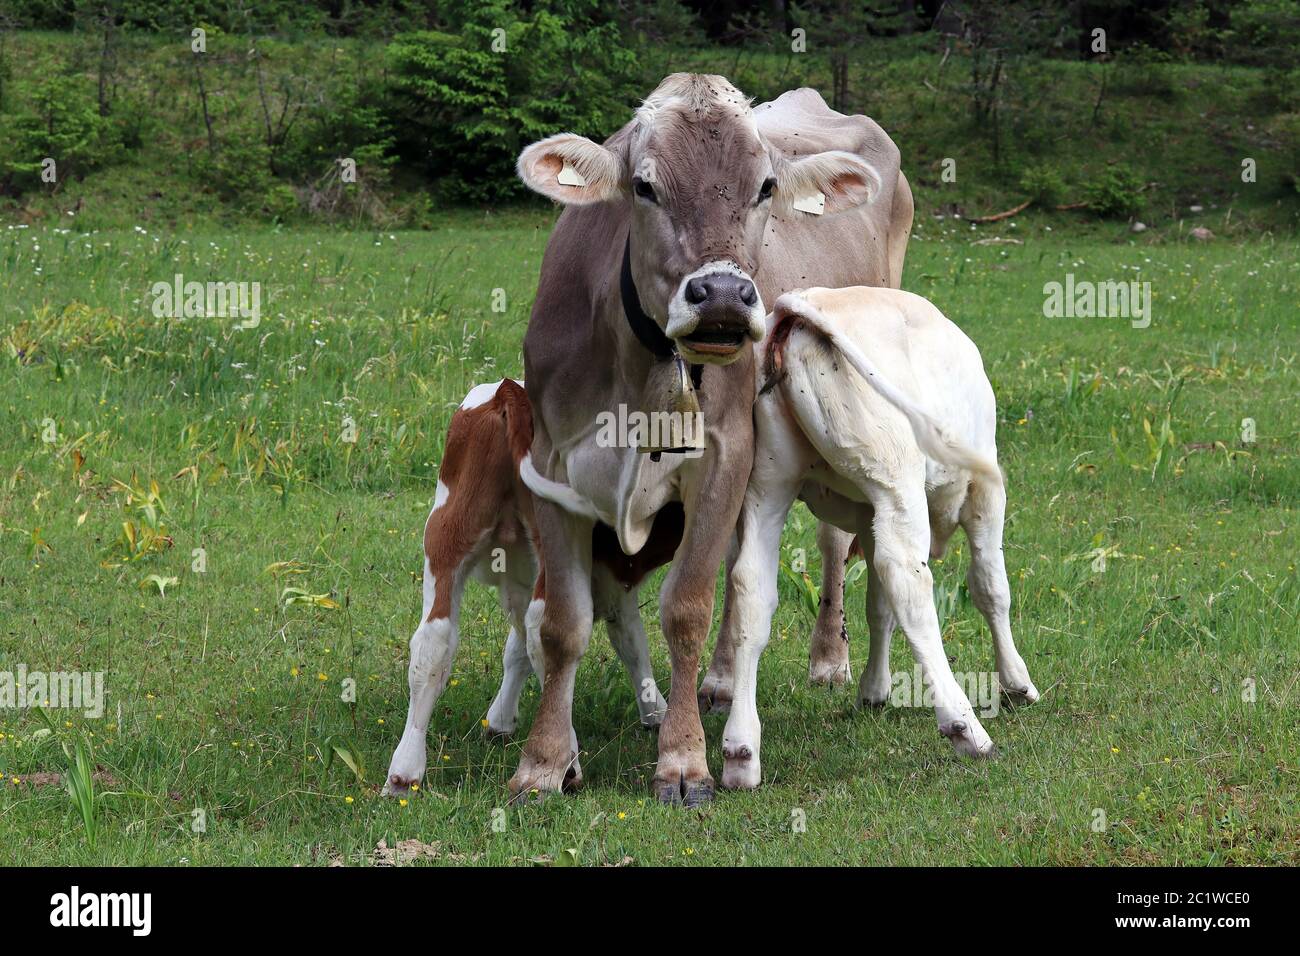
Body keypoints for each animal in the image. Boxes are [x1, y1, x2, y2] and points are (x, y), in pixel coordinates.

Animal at [509, 74, 909, 805]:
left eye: (766, 186)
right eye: (643, 186)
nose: (722, 294)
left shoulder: (725, 453)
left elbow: (686, 608)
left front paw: (683, 761)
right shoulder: (550, 465)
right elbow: (562, 622)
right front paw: (545, 761)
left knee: (830, 542)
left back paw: (829, 659)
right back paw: (722, 681)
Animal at [717, 286, 1041, 789]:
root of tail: (803, 304)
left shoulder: (869, 514)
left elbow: (878, 607)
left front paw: (874, 689)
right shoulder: (984, 491)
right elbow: (991, 588)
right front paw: (1016, 681)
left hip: (768, 484)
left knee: (752, 588)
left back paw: (741, 750)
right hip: (896, 482)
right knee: (908, 582)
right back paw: (965, 726)